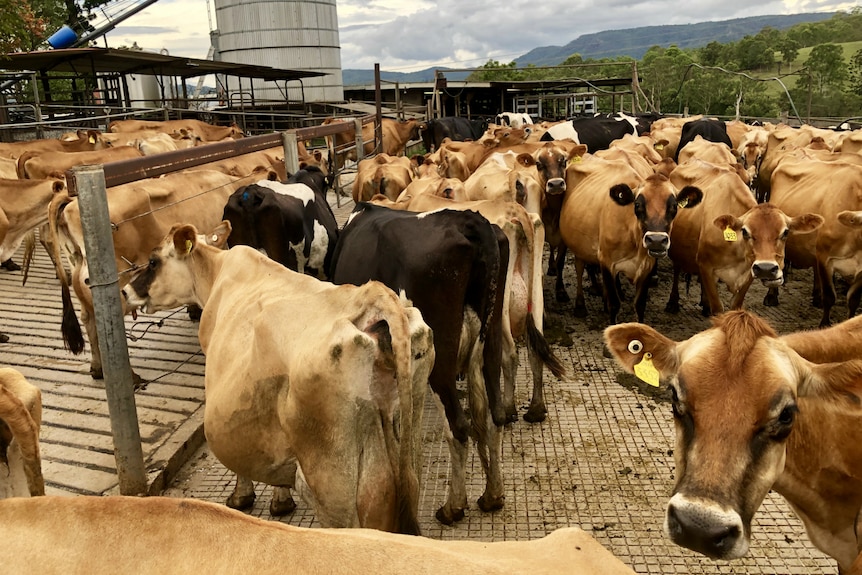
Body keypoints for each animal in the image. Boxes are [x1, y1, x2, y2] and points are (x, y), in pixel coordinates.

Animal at [328, 202, 510, 528]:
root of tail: (470, 220)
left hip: (442, 358)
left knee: (458, 426)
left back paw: (453, 507)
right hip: (491, 339)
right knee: (494, 416)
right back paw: (492, 496)